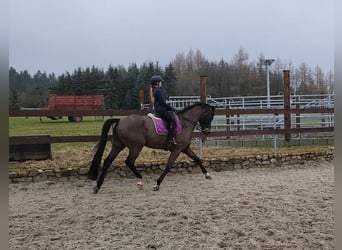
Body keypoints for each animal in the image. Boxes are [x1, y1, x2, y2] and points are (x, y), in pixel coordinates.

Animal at [88, 102, 216, 193]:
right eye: (210, 115)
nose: (207, 131)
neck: (185, 123)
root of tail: (120, 121)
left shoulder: (185, 148)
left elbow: (197, 159)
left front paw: (207, 174)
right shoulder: (177, 149)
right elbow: (168, 166)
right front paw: (157, 184)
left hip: (118, 145)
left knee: (107, 161)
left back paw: (97, 186)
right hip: (136, 146)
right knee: (129, 161)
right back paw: (140, 181)